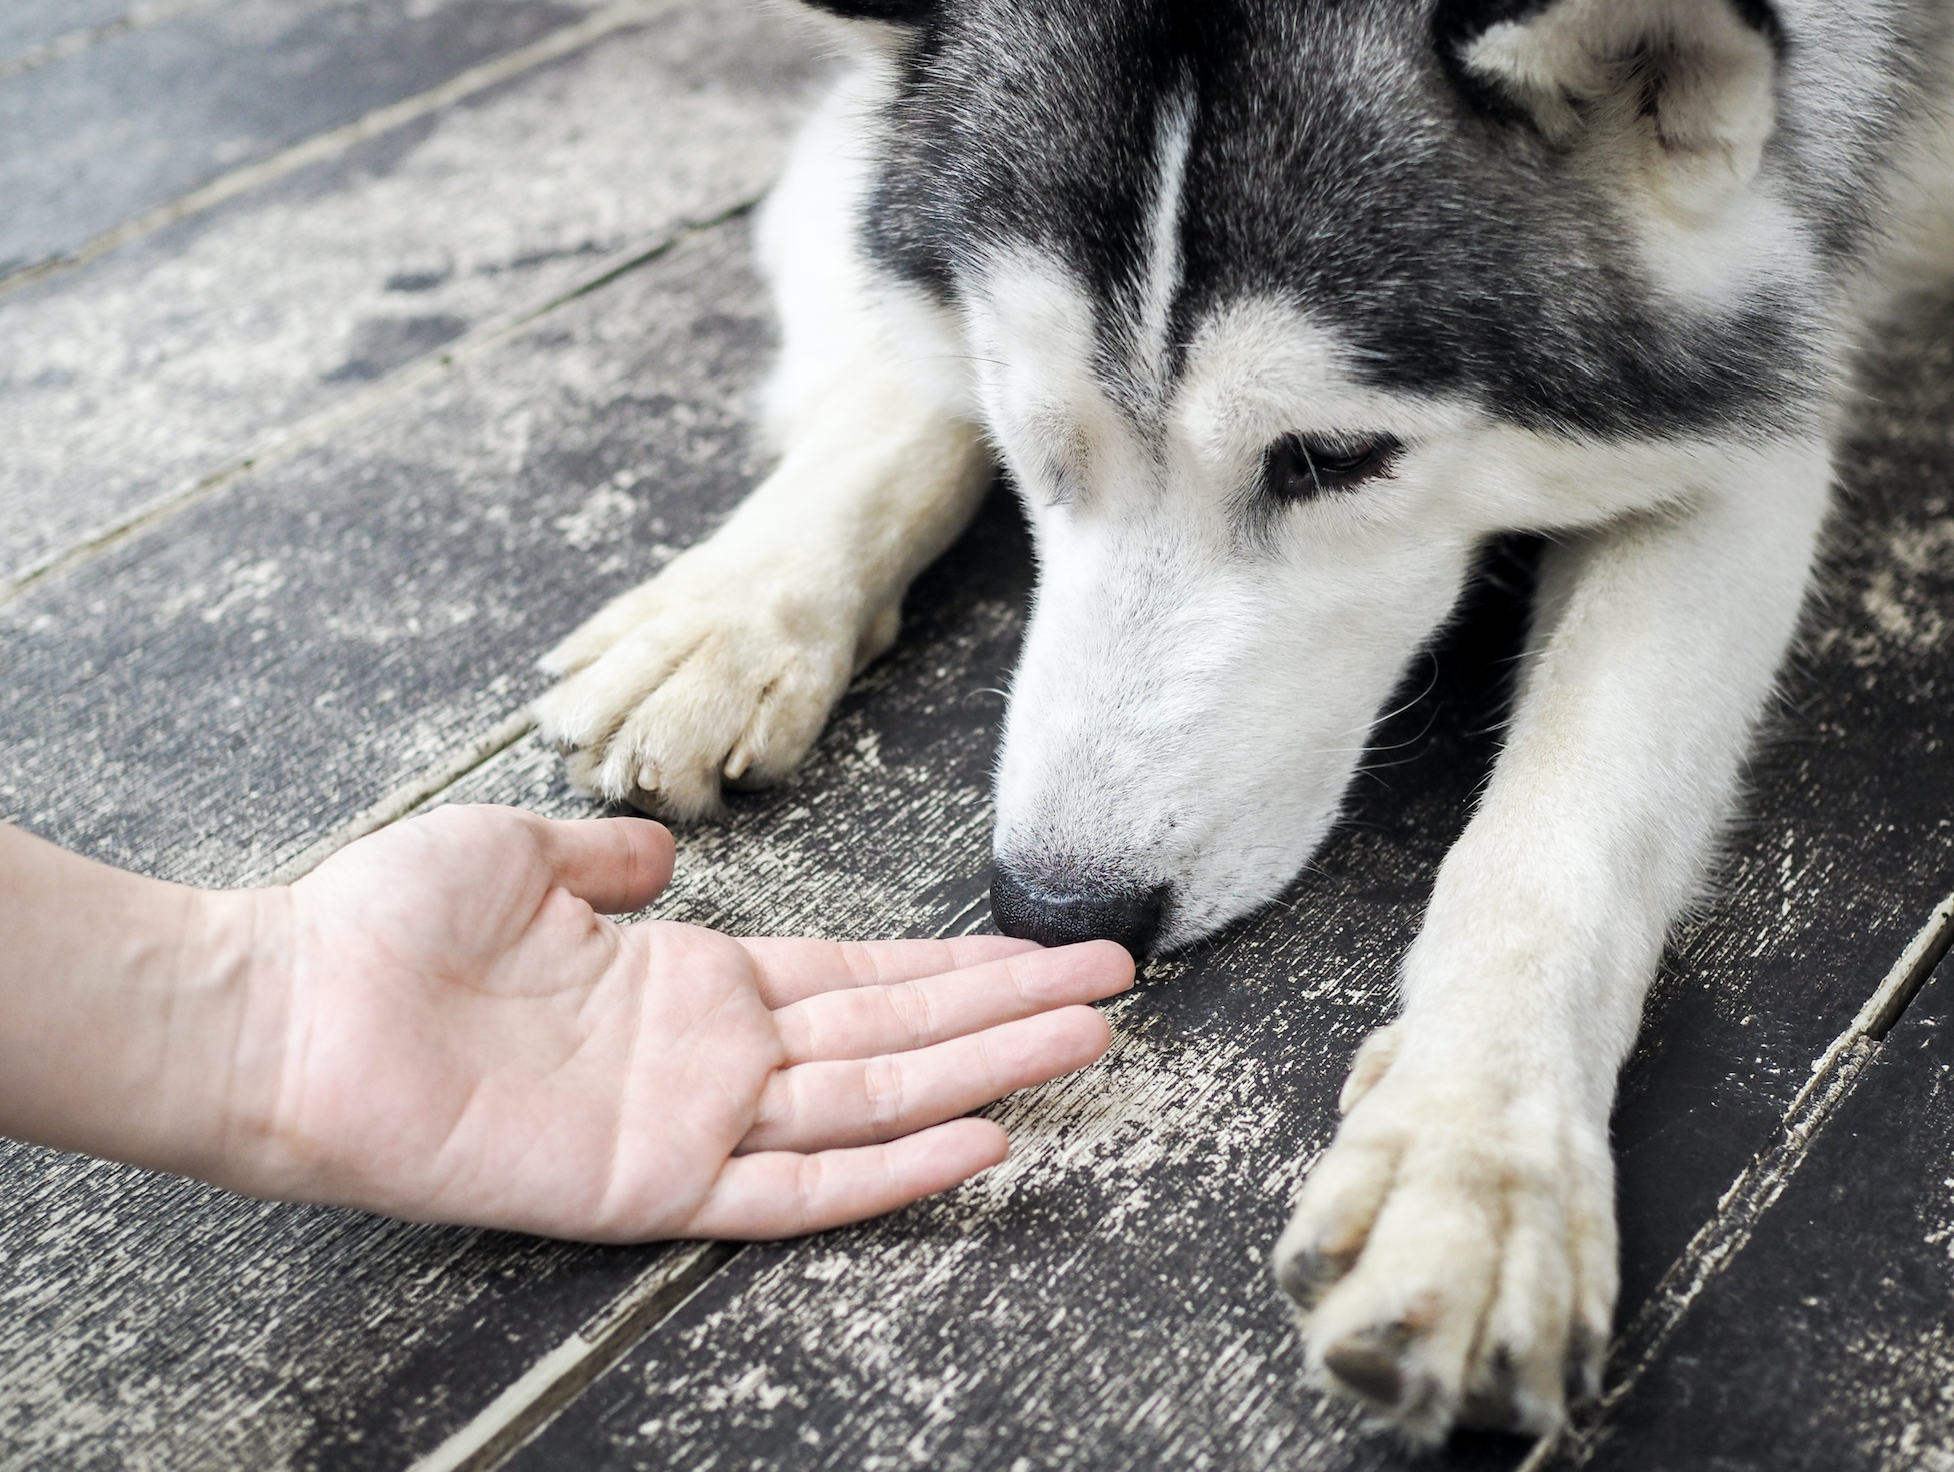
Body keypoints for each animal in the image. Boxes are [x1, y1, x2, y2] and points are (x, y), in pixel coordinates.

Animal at [535, 0, 1954, 1446]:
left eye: (1330, 457)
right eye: (1031, 431)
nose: (1058, 911)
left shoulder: (1750, 402)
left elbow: (1566, 826)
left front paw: (1474, 1160)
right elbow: (895, 384)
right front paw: (731, 609)